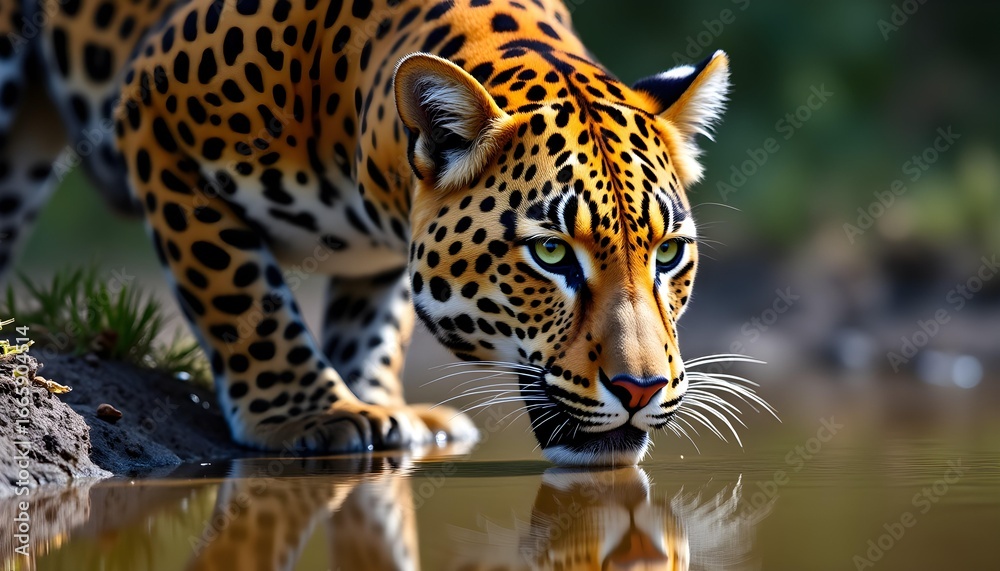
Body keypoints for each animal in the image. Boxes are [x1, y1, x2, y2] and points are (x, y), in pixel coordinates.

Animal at [0, 0, 733, 466]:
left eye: (669, 253)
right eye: (551, 253)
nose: (641, 390)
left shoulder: (389, 244)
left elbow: (373, 322)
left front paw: (382, 408)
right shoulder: (155, 118)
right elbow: (243, 295)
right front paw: (310, 415)